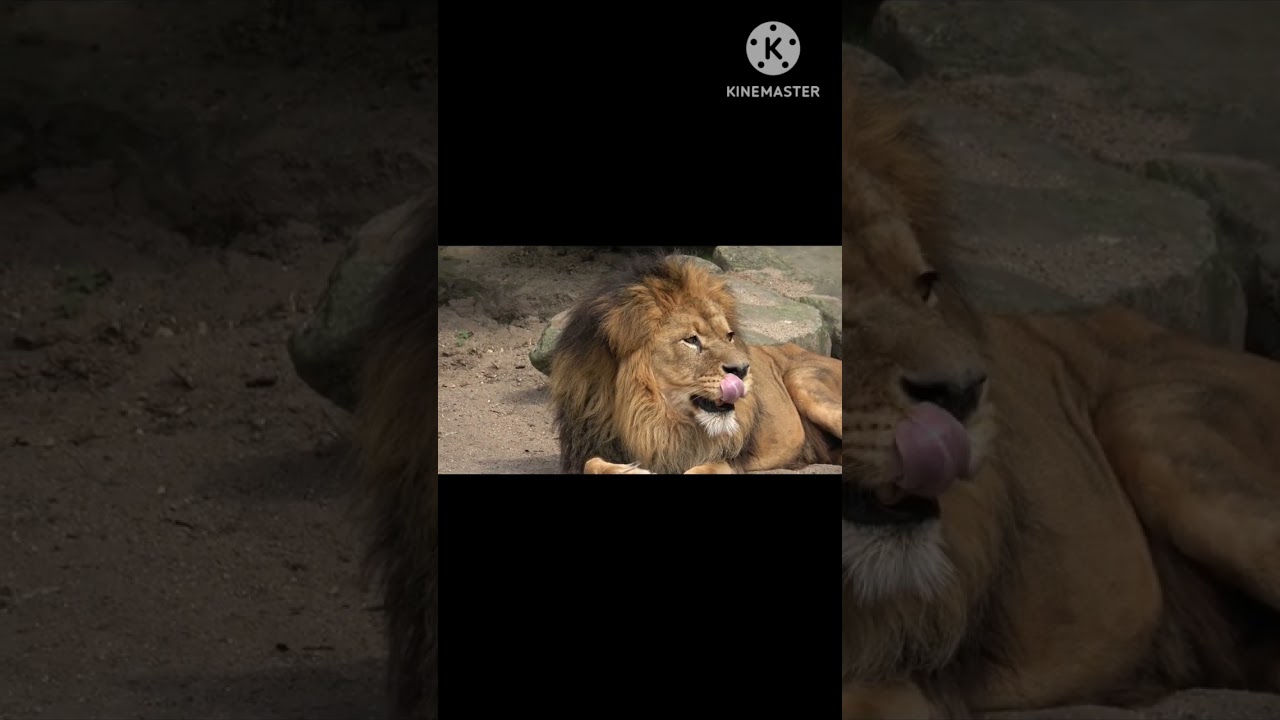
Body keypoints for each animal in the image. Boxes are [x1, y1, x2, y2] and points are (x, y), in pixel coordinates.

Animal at [548, 255, 842, 474]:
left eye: (729, 336)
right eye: (691, 340)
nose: (742, 369)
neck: (653, 419)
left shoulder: (726, 459)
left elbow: (702, 468)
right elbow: (590, 464)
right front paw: (629, 469)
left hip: (803, 380)